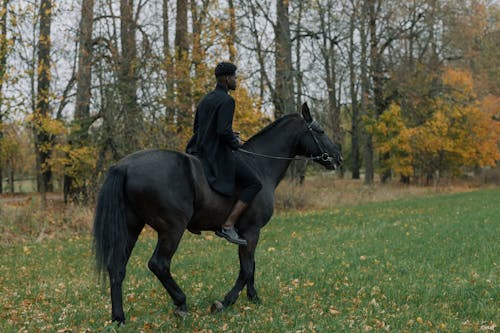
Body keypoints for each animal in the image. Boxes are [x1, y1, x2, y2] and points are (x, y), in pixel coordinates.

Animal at [93, 102, 344, 322]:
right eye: (320, 131)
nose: (338, 157)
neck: (259, 166)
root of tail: (123, 166)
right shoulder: (252, 231)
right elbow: (246, 269)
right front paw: (225, 302)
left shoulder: (246, 234)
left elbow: (251, 266)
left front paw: (253, 298)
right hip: (172, 228)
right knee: (159, 264)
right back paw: (181, 302)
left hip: (131, 226)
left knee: (117, 267)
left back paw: (119, 317)